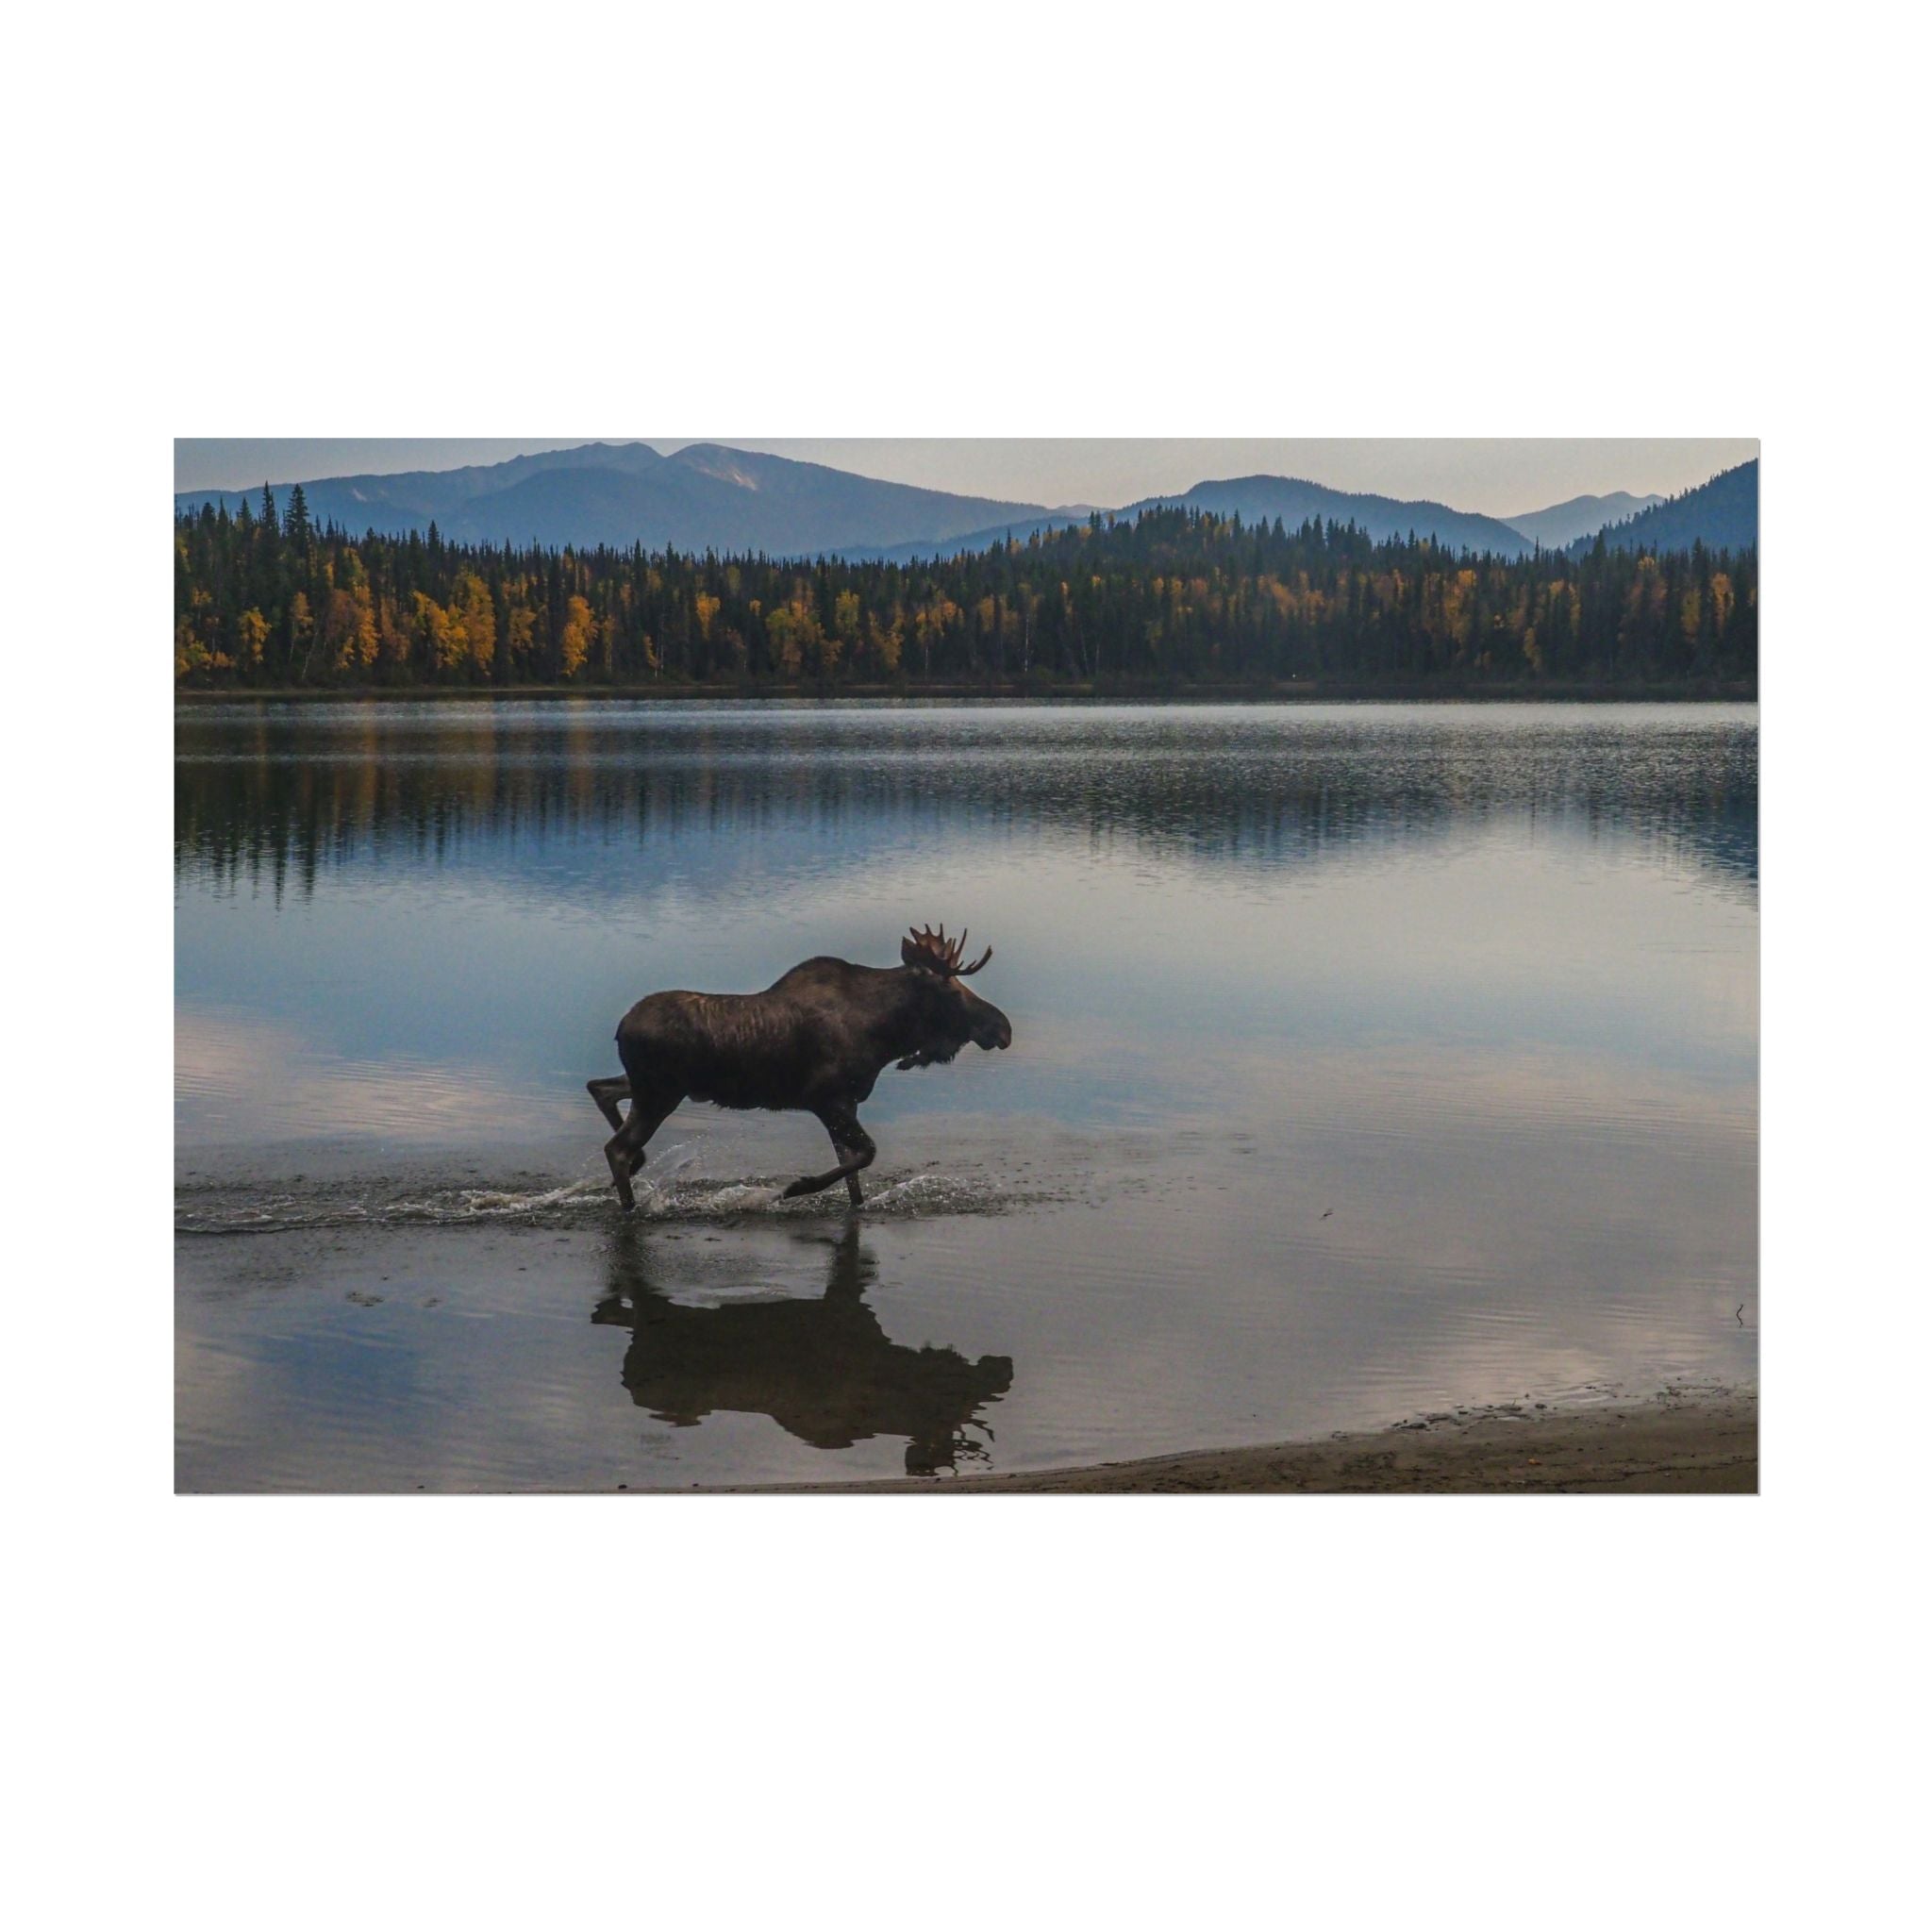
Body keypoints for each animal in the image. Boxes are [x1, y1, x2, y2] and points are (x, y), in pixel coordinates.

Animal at [588, 924, 1013, 1213]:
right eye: (952, 990)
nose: (1003, 1028)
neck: (885, 1035)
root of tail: (620, 1028)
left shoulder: (846, 1103)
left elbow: (853, 1173)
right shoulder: (826, 1098)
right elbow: (867, 1154)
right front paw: (795, 1188)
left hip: (652, 1087)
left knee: (600, 1088)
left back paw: (639, 1167)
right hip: (659, 1093)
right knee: (617, 1148)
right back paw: (630, 1205)